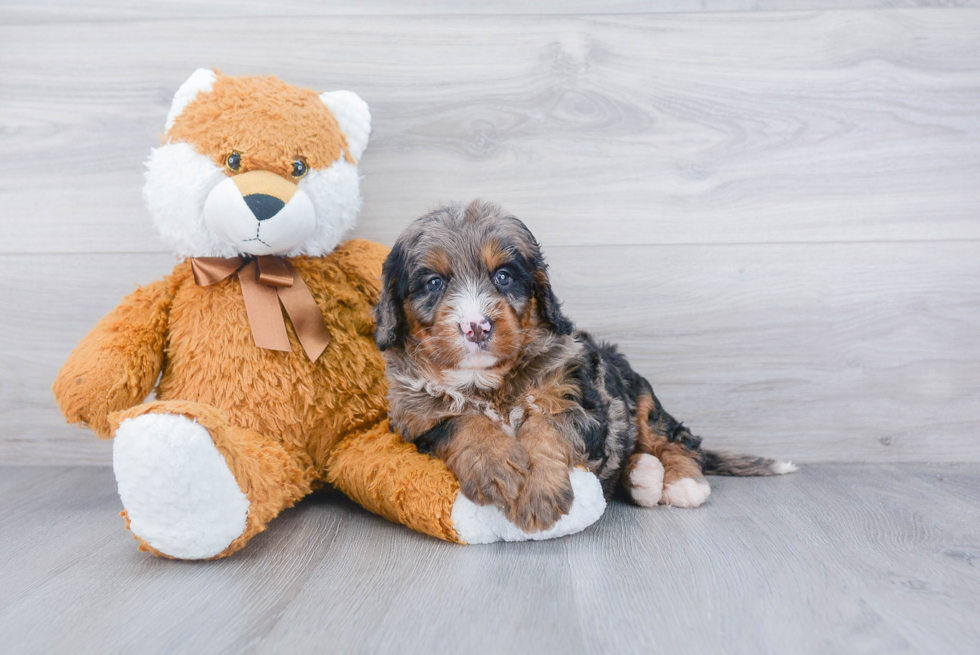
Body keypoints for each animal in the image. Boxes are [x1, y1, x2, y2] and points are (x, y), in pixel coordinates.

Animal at [372, 202, 792, 536]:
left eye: (503, 276)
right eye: (434, 282)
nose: (476, 326)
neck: (487, 383)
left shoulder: (581, 401)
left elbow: (547, 428)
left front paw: (538, 493)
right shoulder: (415, 419)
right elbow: (461, 421)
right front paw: (498, 467)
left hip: (638, 394)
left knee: (675, 437)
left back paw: (681, 482)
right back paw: (642, 475)